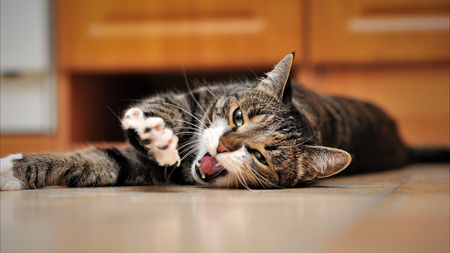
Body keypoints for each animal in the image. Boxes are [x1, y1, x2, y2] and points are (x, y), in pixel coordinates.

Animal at [1, 53, 448, 192]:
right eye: (237, 117)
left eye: (262, 156)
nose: (223, 146)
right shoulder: (191, 100)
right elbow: (162, 110)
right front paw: (156, 135)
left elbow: (103, 163)